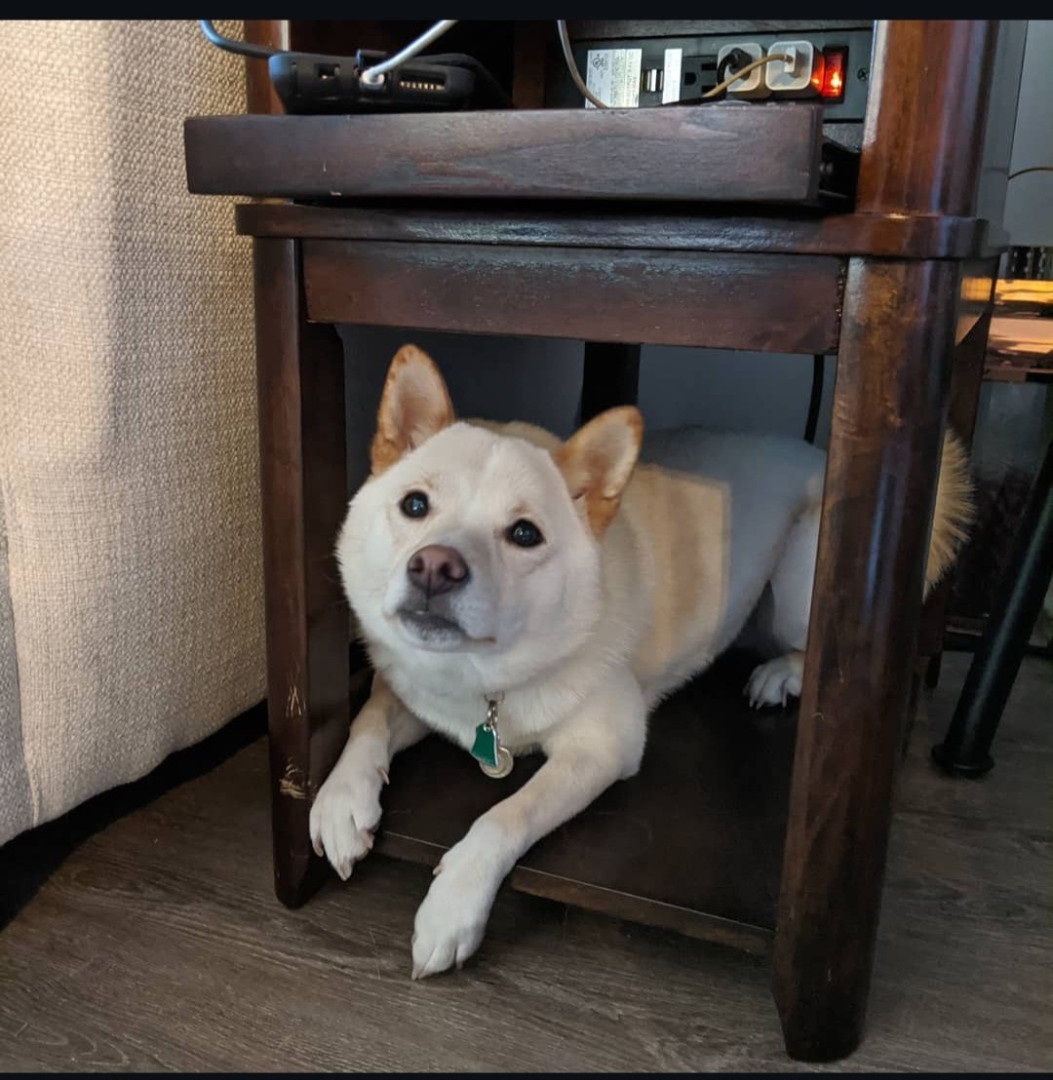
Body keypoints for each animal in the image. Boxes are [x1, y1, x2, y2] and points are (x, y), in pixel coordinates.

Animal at [309, 343, 972, 979]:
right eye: (415, 505)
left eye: (524, 535)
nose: (434, 567)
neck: (482, 679)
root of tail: (818, 452)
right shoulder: (414, 689)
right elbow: (367, 719)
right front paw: (342, 800)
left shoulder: (602, 748)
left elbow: (506, 814)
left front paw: (453, 904)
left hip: (800, 593)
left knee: (813, 644)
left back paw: (781, 674)